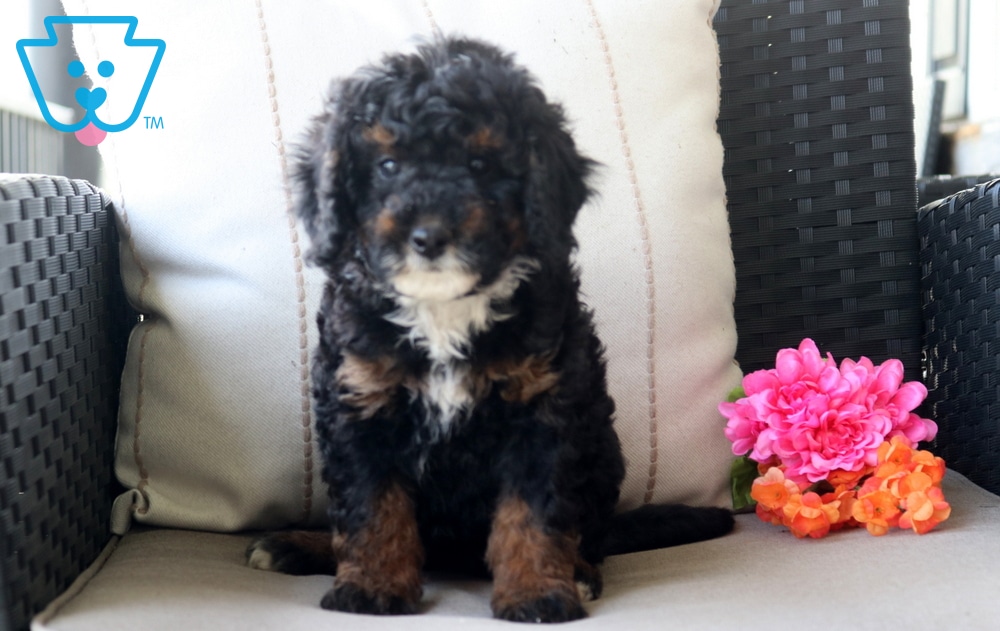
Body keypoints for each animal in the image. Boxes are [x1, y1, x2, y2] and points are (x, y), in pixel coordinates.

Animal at [247, 36, 734, 623]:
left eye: (480, 164)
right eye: (387, 165)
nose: (429, 236)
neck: (444, 310)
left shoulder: (542, 412)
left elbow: (534, 513)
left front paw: (538, 593)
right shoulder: (361, 403)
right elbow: (371, 505)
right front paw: (371, 587)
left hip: (601, 453)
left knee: (591, 535)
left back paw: (581, 571)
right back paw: (296, 544)